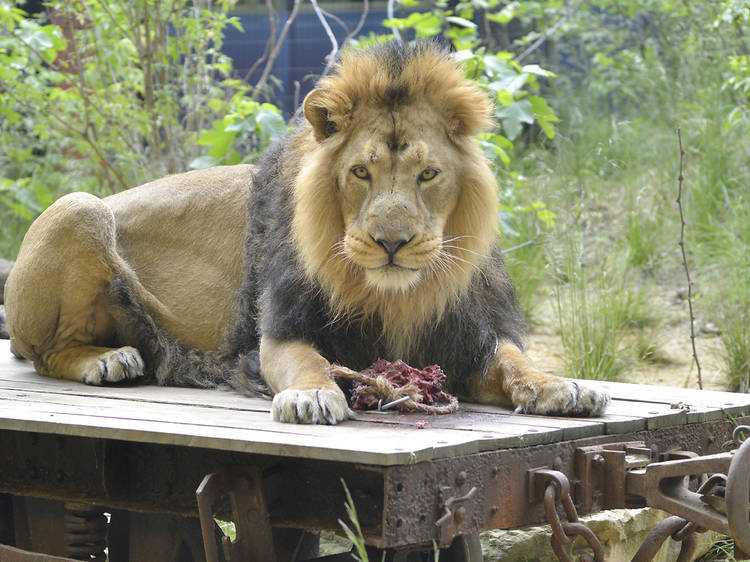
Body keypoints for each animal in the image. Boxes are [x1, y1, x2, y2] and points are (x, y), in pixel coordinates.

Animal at [3, 41, 609, 424]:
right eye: (360, 173)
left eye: (428, 174)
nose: (392, 243)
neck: (395, 296)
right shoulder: (279, 330)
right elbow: (306, 361)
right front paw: (312, 397)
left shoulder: (467, 340)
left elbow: (513, 362)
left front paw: (562, 386)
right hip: (79, 208)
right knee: (45, 352)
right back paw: (108, 361)